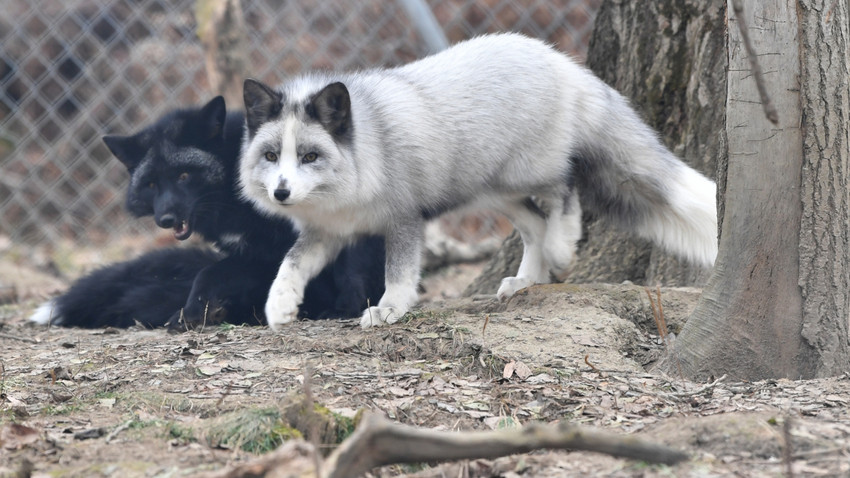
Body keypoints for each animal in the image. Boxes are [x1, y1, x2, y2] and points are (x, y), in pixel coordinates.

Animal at [32, 97, 384, 328]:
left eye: (184, 176)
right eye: (151, 184)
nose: (166, 219)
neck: (234, 195)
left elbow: (351, 267)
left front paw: (348, 307)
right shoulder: (254, 254)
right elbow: (208, 275)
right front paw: (189, 315)